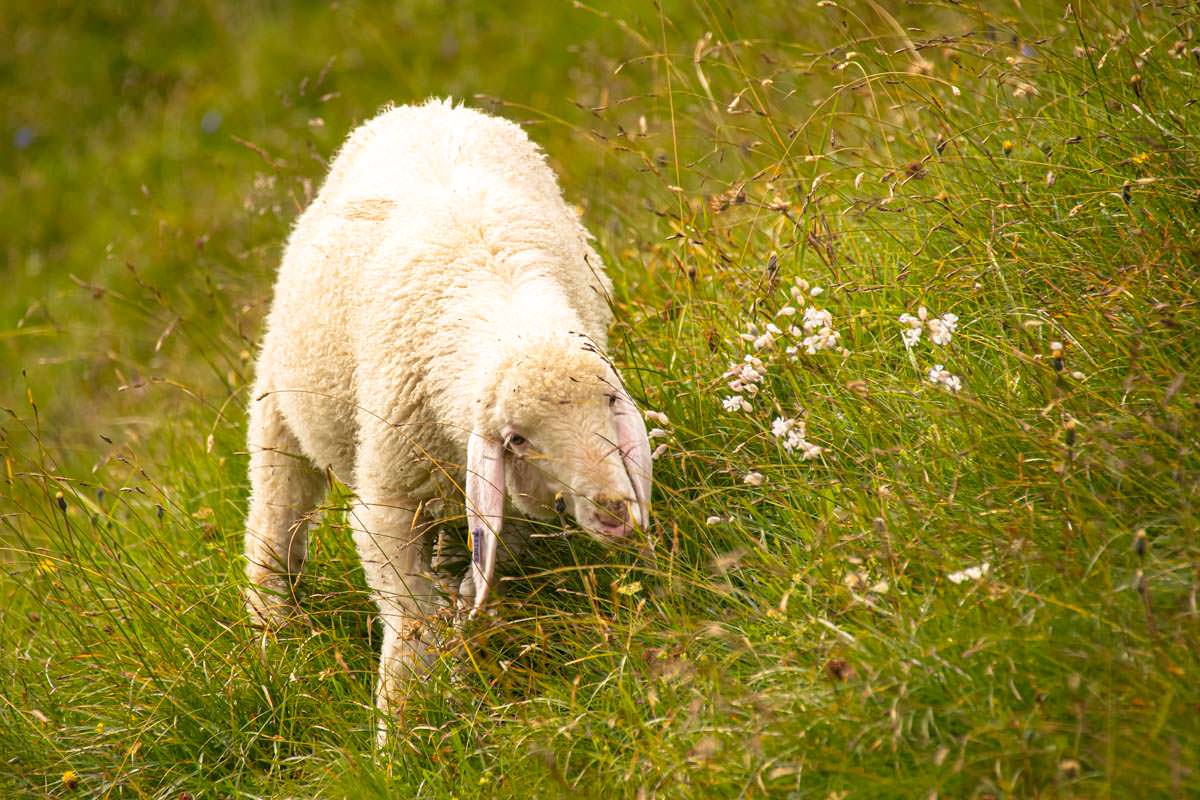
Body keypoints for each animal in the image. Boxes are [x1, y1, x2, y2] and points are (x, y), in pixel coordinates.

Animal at [246, 98, 657, 738]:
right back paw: (275, 637)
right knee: (273, 523)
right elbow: (414, 618)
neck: (499, 296)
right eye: (517, 438)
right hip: (279, 411)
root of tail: (423, 106)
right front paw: (402, 722)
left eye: (610, 404)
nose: (616, 511)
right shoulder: (389, 498)